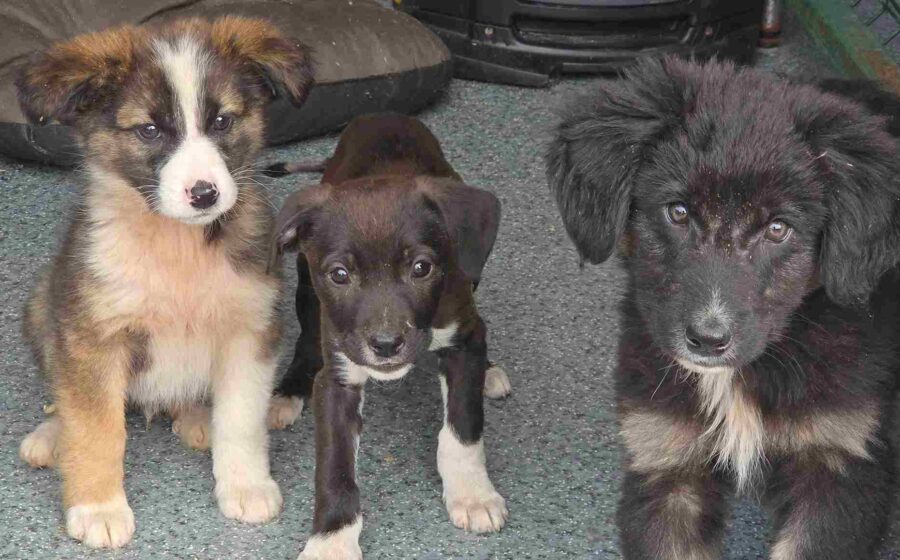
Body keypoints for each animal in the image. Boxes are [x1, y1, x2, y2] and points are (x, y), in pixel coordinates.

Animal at [15, 17, 312, 548]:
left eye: (222, 122)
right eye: (150, 130)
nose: (205, 194)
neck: (178, 246)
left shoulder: (251, 328)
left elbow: (242, 418)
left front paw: (246, 485)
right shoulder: (92, 336)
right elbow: (95, 425)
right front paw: (98, 506)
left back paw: (195, 416)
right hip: (42, 305)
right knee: (67, 399)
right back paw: (51, 437)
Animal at [269, 113, 510, 559]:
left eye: (421, 268)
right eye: (340, 274)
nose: (385, 345)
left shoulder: (460, 342)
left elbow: (464, 426)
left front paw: (472, 493)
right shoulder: (339, 379)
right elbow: (335, 468)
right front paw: (332, 541)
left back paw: (490, 370)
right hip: (306, 289)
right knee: (306, 340)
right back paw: (287, 392)